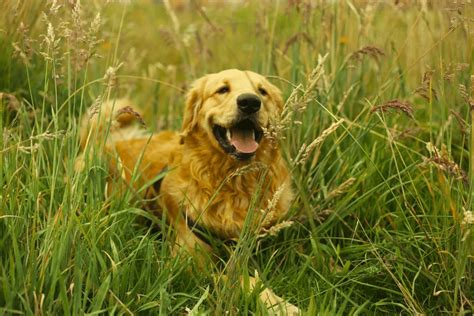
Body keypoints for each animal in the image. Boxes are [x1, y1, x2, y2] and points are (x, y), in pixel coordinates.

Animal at [78, 69, 300, 314]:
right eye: (222, 89)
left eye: (263, 91)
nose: (250, 102)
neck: (232, 182)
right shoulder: (188, 263)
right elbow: (240, 279)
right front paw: (279, 305)